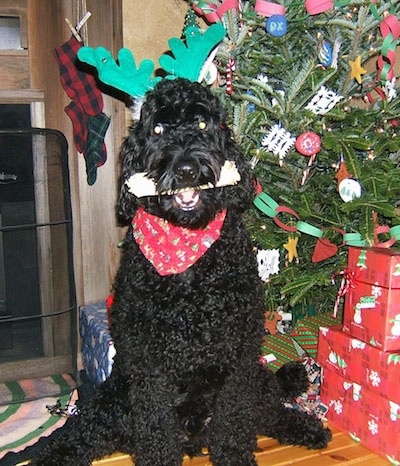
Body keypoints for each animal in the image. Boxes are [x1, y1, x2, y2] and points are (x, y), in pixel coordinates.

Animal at [32, 78, 332, 464]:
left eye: (203, 124)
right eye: (158, 129)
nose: (187, 168)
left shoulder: (239, 355)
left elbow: (235, 422)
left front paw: (234, 454)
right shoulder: (147, 364)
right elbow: (155, 426)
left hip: (249, 379)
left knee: (269, 408)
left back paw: (307, 427)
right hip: (114, 398)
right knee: (84, 432)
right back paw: (53, 452)